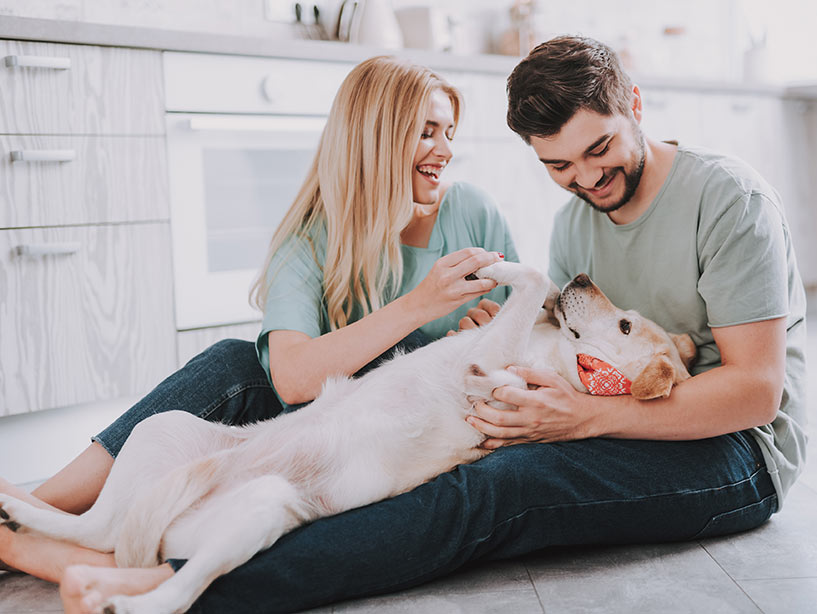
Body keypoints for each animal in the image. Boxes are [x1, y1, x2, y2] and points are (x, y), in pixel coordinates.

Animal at [0, 262, 696, 612]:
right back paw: (15, 510)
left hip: (259, 512)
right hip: (162, 431)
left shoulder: (502, 356)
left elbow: (527, 285)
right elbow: (521, 296)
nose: (583, 279)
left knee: (168, 589)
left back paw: (112, 598)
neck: (546, 356)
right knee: (95, 530)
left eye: (626, 325)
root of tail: (172, 523)